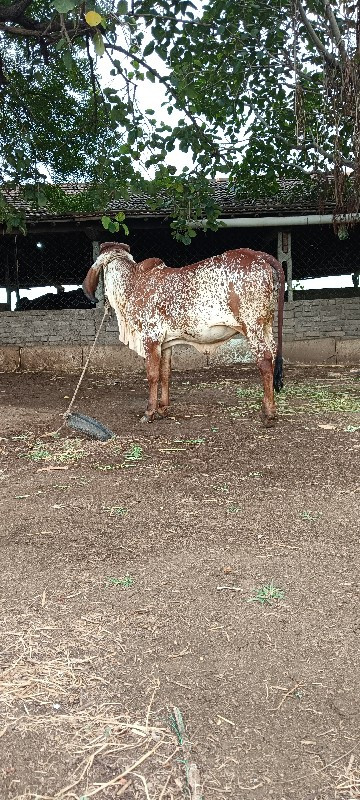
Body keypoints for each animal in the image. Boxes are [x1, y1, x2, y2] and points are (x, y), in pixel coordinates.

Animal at [83, 242, 286, 424]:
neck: (132, 285)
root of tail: (259, 255)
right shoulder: (165, 343)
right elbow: (165, 373)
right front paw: (163, 409)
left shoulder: (150, 338)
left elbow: (152, 375)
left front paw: (149, 412)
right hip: (266, 325)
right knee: (273, 354)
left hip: (252, 325)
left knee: (265, 360)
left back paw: (268, 414)